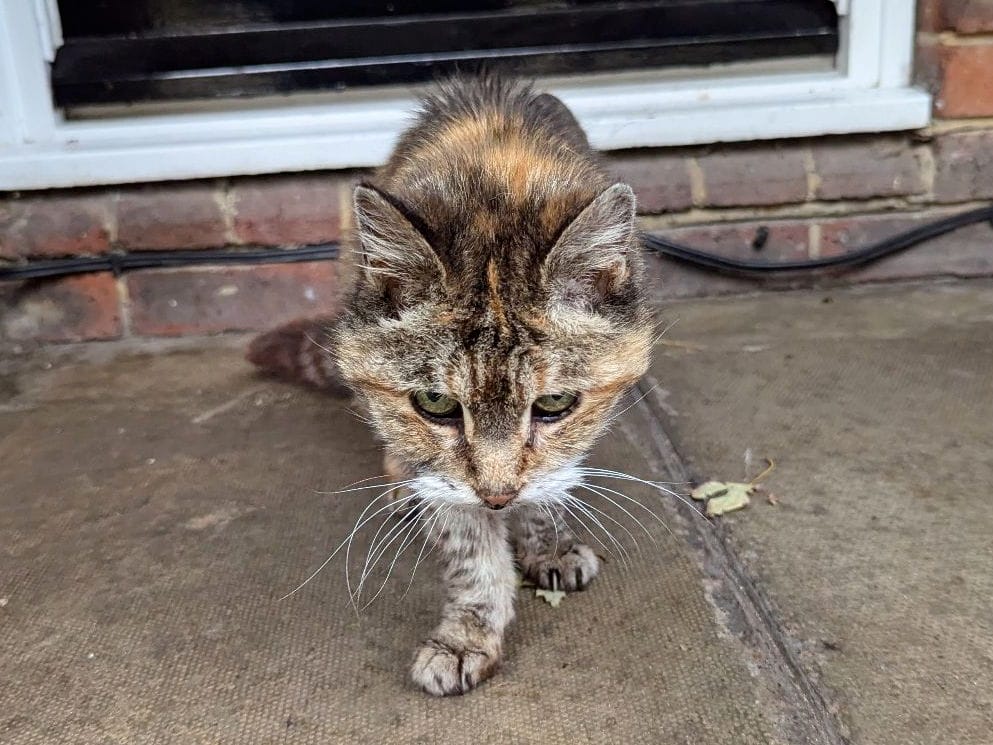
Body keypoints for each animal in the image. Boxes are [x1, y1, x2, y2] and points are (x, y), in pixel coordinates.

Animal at [248, 78, 652, 696]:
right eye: (435, 403)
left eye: (554, 403)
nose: (497, 497)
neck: (495, 176)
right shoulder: (443, 470)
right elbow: (470, 549)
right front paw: (467, 635)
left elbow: (548, 483)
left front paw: (547, 540)